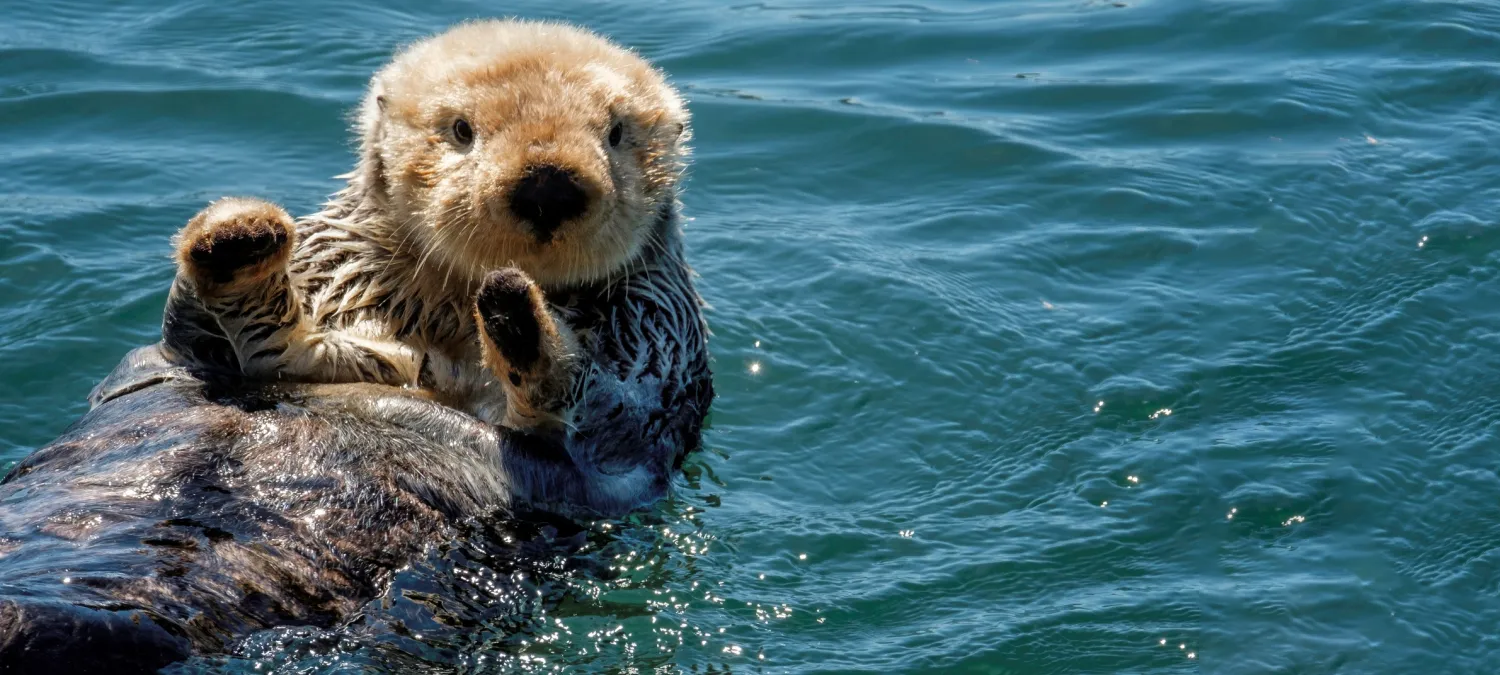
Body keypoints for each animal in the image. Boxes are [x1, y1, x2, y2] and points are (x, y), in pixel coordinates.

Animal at [0, 20, 711, 673]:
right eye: (461, 129)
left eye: (615, 133)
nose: (547, 185)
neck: (445, 318)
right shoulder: (303, 285)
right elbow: (225, 344)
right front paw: (236, 242)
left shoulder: (656, 338)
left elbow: (607, 415)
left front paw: (519, 316)